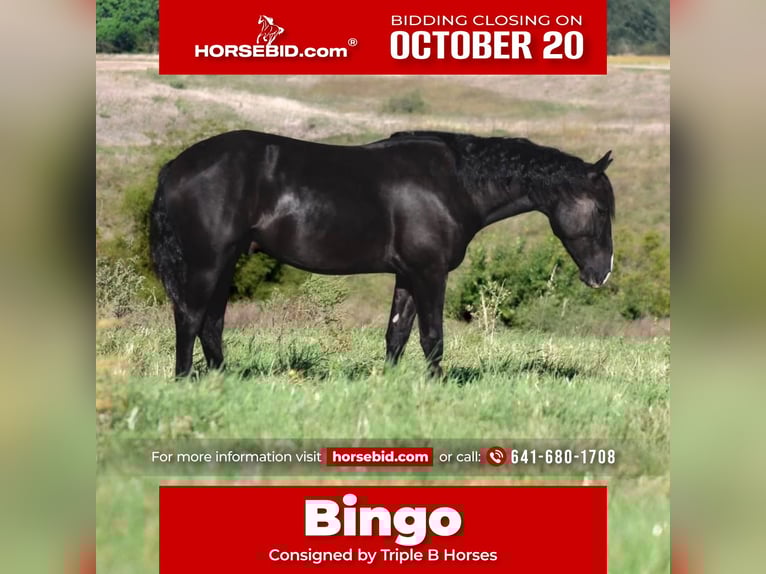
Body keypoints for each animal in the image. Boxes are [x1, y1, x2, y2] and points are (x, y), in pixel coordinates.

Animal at [149, 130, 614, 378]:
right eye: (601, 209)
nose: (602, 274)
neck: (452, 183)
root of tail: (175, 166)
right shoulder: (430, 273)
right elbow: (432, 337)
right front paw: (436, 385)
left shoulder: (408, 274)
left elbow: (397, 334)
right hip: (208, 263)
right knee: (190, 318)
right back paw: (184, 379)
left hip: (225, 262)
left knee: (211, 323)